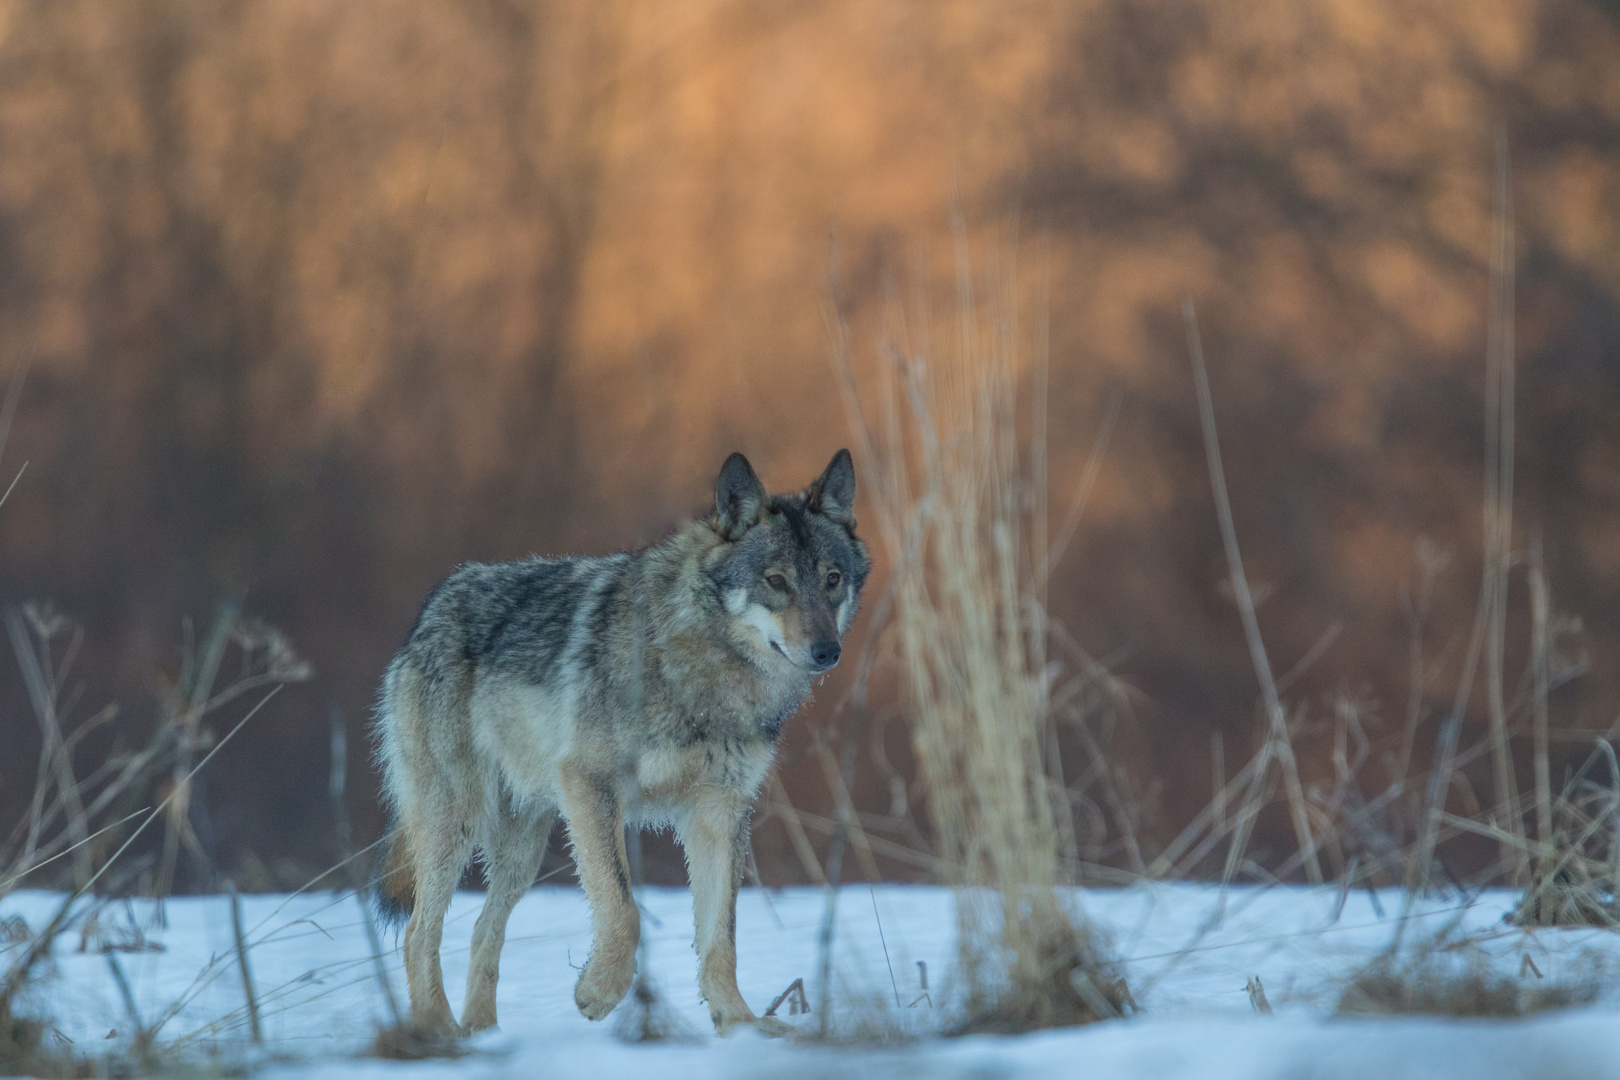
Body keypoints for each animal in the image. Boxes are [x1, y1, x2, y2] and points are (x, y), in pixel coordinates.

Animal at [370, 450, 868, 1036]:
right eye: (776, 581)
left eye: (832, 579)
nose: (827, 652)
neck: (704, 672)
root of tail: (431, 608)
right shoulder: (593, 788)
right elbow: (624, 909)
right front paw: (599, 992)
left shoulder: (719, 813)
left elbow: (720, 938)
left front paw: (739, 1025)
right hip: (458, 822)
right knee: (418, 933)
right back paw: (440, 1034)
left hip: (522, 851)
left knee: (481, 931)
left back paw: (482, 1036)